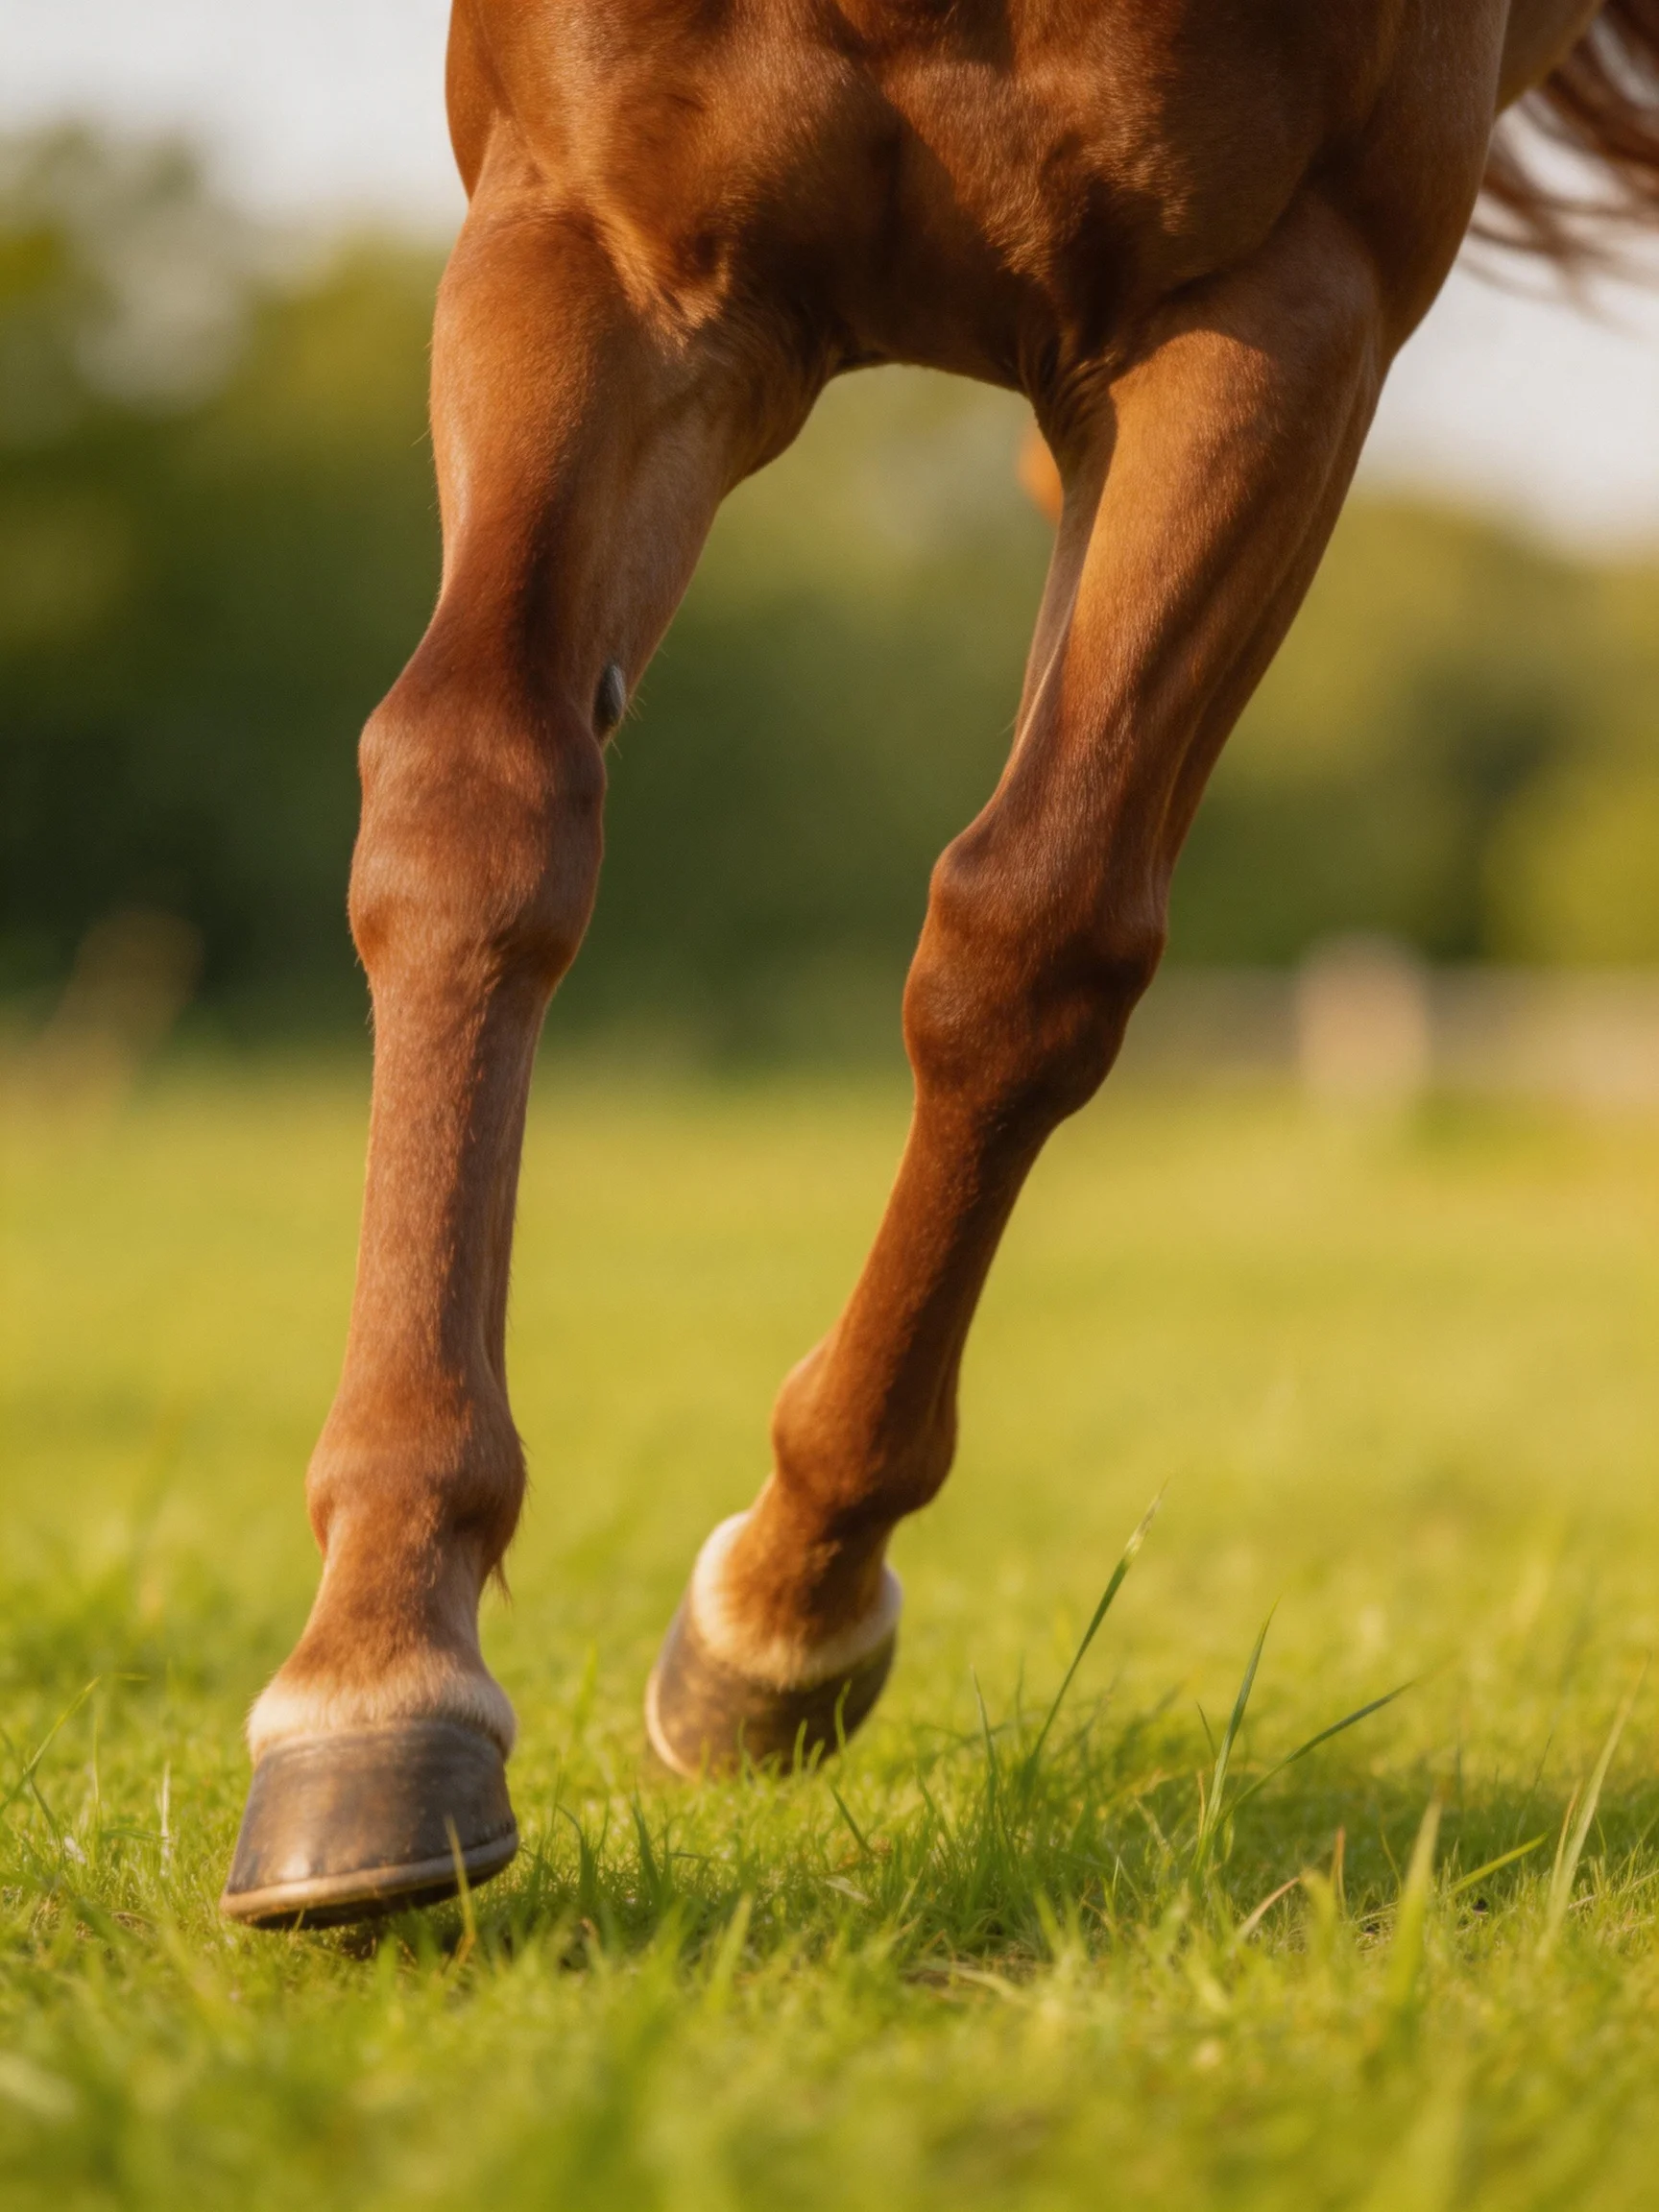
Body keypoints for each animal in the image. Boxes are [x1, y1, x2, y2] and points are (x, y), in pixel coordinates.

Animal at [220, 0, 1659, 1928]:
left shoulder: (1281, 294)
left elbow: (1033, 934)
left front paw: (782, 1615)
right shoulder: (597, 240)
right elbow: (476, 804)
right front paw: (375, 1666)